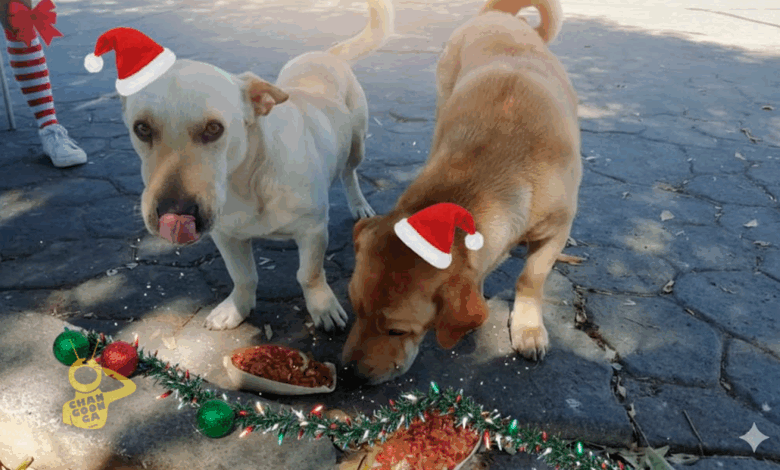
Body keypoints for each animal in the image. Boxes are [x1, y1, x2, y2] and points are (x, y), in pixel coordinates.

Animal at [120, 0, 394, 331]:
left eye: (214, 129)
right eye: (142, 128)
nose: (174, 212)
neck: (247, 183)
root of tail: (326, 55)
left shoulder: (313, 230)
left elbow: (309, 274)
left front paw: (323, 306)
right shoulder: (225, 236)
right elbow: (243, 276)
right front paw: (237, 307)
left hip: (357, 145)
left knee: (349, 172)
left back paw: (358, 204)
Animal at [342, 0, 582, 384]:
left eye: (397, 331)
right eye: (355, 308)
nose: (348, 375)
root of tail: (496, 16)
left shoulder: (557, 231)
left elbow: (531, 278)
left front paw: (528, 327)